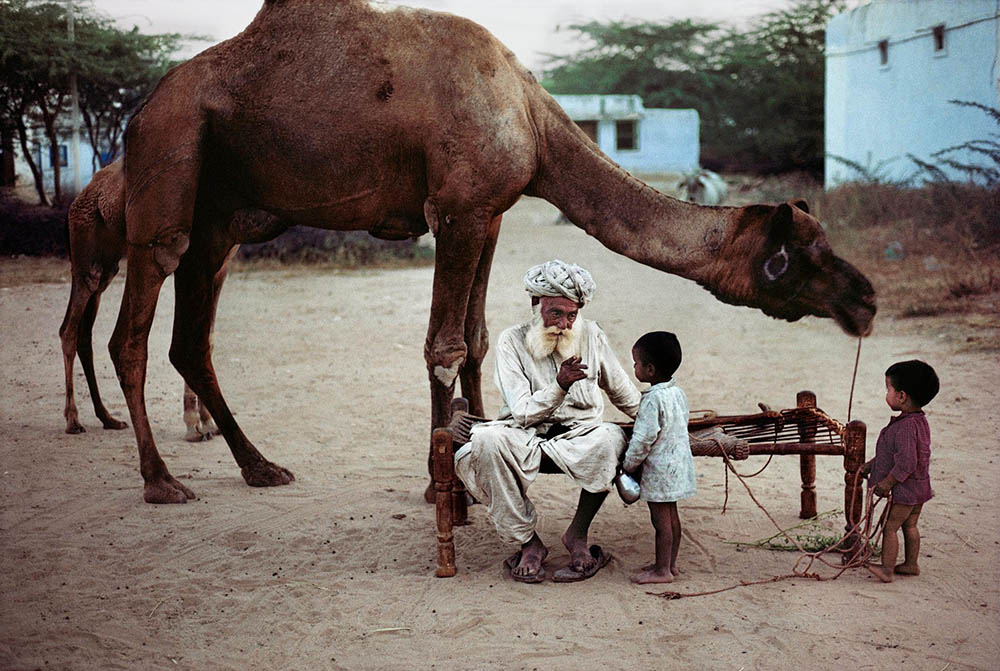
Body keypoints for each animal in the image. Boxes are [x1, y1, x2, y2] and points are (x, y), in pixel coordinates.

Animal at [111, 0, 876, 504]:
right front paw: (437, 484)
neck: (531, 113)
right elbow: (445, 346)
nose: (866, 299)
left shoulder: (491, 213)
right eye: (797, 256)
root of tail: (140, 109)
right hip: (170, 162)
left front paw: (475, 451)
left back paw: (260, 467)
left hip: (221, 219)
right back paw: (160, 480)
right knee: (135, 326)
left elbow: (478, 339)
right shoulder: (457, 207)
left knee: (191, 339)